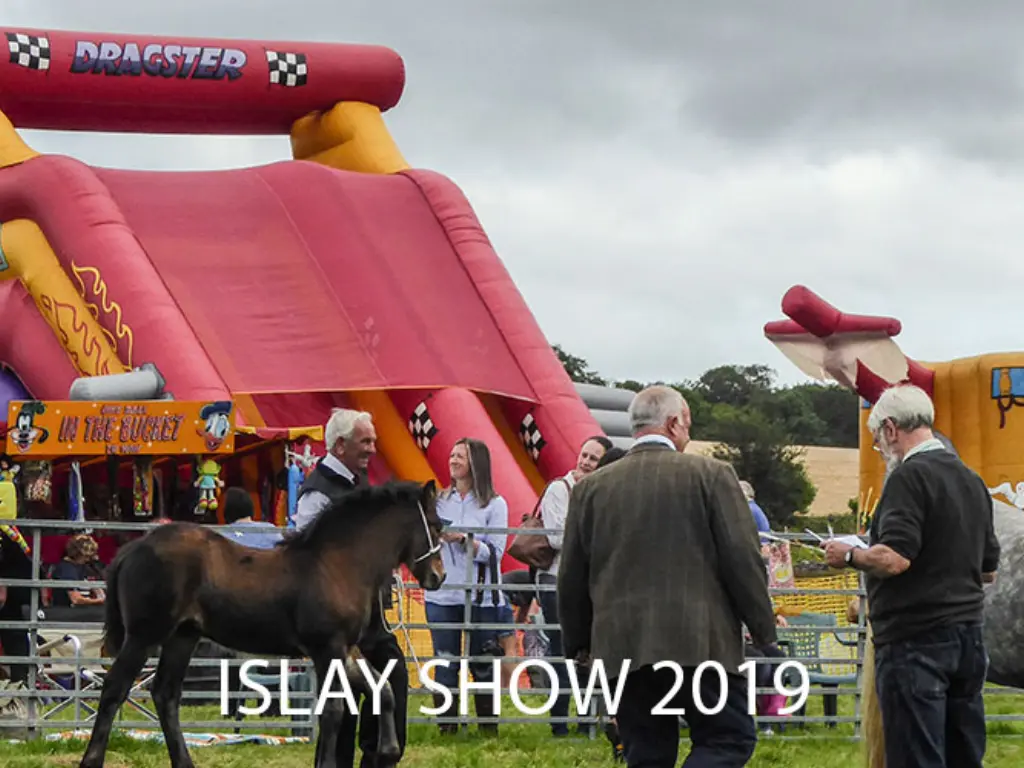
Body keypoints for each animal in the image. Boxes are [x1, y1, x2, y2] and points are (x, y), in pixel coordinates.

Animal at [77, 481, 446, 768]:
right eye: (437, 525)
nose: (438, 577)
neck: (337, 564)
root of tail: (134, 548)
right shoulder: (327, 649)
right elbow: (334, 710)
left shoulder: (347, 649)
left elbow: (382, 690)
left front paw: (389, 752)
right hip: (144, 636)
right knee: (114, 688)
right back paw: (91, 760)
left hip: (183, 637)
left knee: (165, 694)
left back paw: (184, 762)